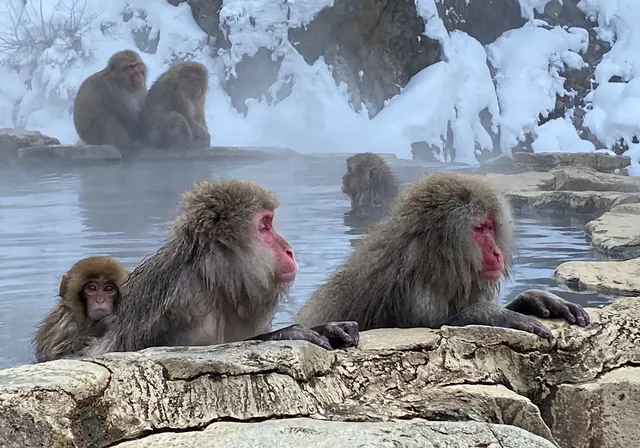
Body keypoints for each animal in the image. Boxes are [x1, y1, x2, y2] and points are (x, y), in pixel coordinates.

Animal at [84, 179, 358, 357]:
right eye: (264, 226)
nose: (289, 250)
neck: (215, 279)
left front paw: (327, 328)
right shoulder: (188, 306)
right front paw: (289, 333)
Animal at [296, 171, 590, 341]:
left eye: (491, 227)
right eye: (479, 229)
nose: (496, 253)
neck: (436, 264)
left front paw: (533, 300)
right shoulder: (415, 294)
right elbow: (434, 328)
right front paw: (492, 315)